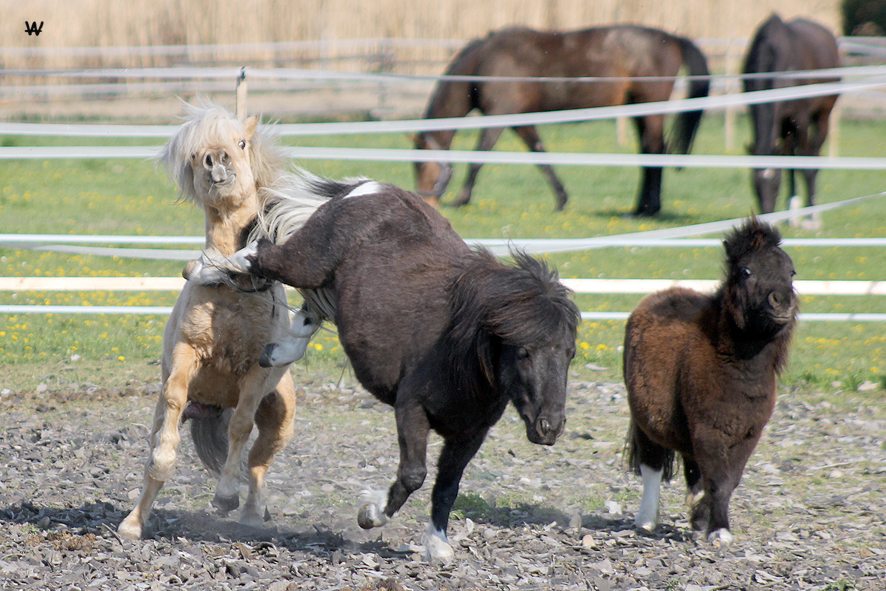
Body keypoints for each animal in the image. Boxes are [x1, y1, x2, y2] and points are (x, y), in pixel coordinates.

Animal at [118, 103, 326, 540]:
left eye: (242, 143)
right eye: (195, 155)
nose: (216, 159)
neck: (232, 285)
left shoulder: (253, 372)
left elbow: (241, 428)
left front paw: (226, 494)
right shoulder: (188, 352)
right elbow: (173, 405)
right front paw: (163, 461)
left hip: (279, 423)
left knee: (258, 465)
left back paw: (250, 514)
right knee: (156, 462)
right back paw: (133, 523)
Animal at [187, 173, 584, 560]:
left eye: (570, 353)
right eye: (524, 352)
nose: (550, 427)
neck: (460, 354)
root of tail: (368, 189)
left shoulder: (469, 434)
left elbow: (447, 486)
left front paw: (437, 543)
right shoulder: (411, 410)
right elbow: (413, 475)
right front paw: (370, 514)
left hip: (324, 280)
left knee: (308, 312)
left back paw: (275, 352)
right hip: (305, 262)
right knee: (258, 253)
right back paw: (202, 272)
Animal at [412, 24, 712, 217]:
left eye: (421, 165)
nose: (424, 201)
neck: (484, 64)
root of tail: (673, 38)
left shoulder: (498, 117)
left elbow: (477, 159)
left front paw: (461, 200)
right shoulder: (520, 121)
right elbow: (541, 157)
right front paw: (562, 200)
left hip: (650, 109)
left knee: (655, 150)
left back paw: (649, 210)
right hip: (640, 109)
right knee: (649, 152)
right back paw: (641, 208)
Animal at [624, 219, 796, 544]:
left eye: (791, 272)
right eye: (746, 271)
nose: (782, 302)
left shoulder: (748, 434)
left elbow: (729, 480)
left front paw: (705, 521)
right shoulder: (708, 430)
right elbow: (719, 479)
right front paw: (718, 530)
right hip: (645, 421)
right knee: (652, 465)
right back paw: (646, 520)